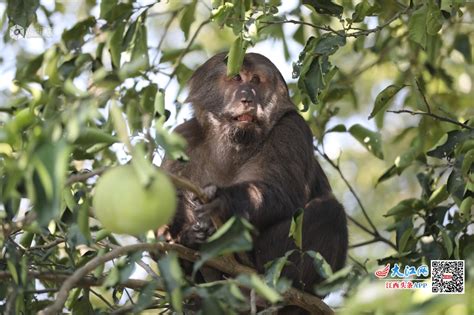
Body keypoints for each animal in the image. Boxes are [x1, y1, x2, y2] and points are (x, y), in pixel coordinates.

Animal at [163, 52, 348, 314]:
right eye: (236, 78)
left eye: (256, 80)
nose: (247, 98)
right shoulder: (182, 138)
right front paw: (182, 236)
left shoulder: (291, 128)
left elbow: (283, 193)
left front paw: (223, 201)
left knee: (331, 212)